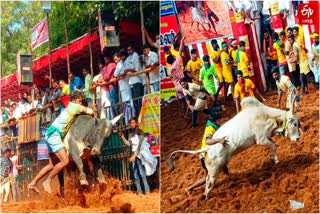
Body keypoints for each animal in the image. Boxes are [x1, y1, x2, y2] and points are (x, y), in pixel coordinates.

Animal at [169, 97, 302, 199]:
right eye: (295, 124)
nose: (297, 138)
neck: (267, 116)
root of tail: (207, 149)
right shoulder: (261, 139)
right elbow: (273, 146)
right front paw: (277, 160)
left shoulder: (267, 137)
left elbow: (273, 146)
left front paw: (273, 157)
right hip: (214, 170)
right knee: (208, 182)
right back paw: (207, 197)